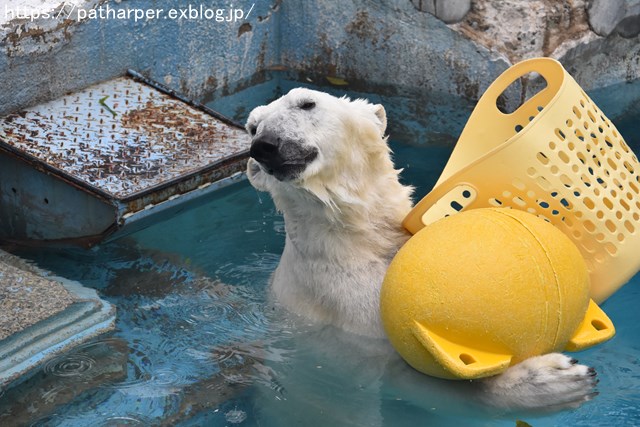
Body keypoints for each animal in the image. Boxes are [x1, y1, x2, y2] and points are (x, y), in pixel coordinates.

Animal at [246, 88, 600, 412]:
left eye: (307, 103)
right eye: (253, 126)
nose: (265, 145)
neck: (353, 236)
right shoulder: (345, 305)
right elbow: (409, 373)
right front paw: (555, 379)